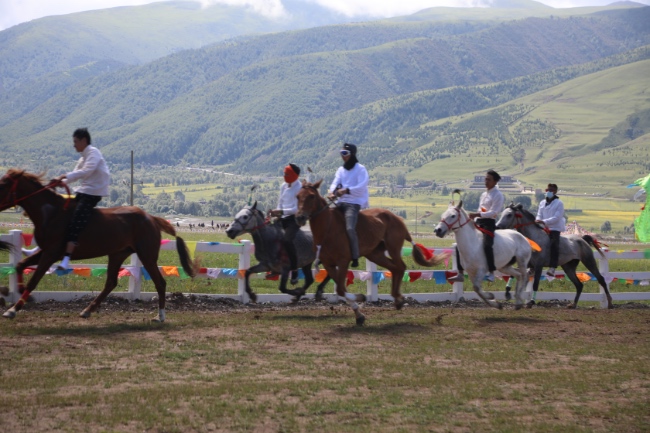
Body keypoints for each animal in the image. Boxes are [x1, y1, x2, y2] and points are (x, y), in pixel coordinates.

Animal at [0, 169, 195, 320]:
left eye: (3, 184)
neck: (50, 213)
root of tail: (152, 218)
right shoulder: (46, 251)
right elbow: (20, 265)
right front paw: (17, 292)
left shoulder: (50, 253)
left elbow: (34, 280)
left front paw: (13, 309)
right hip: (118, 254)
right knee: (111, 282)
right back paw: (88, 310)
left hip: (146, 255)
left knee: (160, 283)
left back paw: (160, 316)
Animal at [294, 179, 450, 324]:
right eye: (297, 196)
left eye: (311, 196)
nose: (300, 217)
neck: (328, 228)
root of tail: (397, 218)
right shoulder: (329, 264)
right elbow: (340, 288)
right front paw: (359, 314)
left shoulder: (343, 261)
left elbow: (341, 289)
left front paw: (360, 300)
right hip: (375, 254)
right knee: (395, 268)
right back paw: (397, 299)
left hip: (393, 248)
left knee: (400, 267)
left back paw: (398, 299)